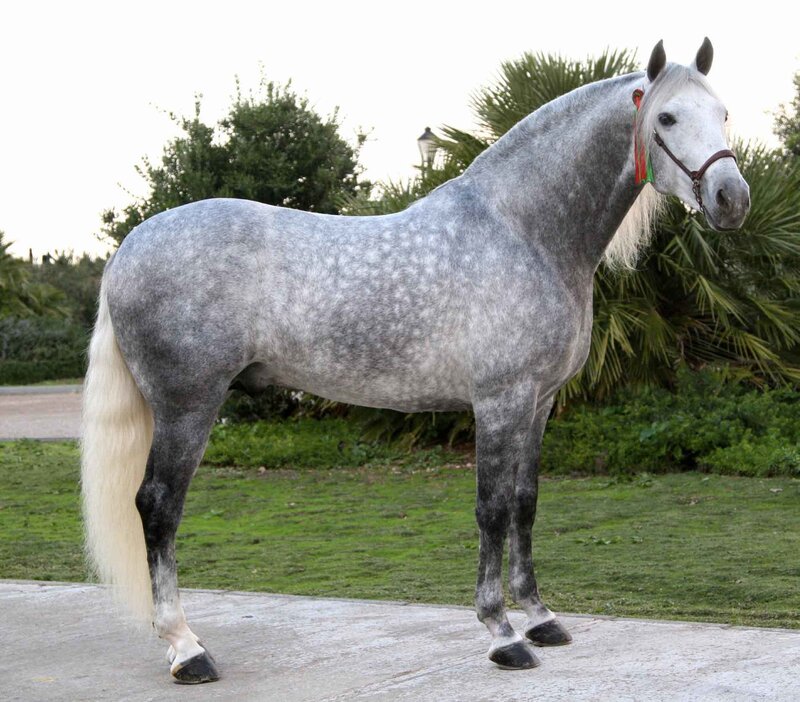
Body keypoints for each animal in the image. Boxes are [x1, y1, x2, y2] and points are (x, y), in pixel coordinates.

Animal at [81, 38, 749, 683]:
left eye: (723, 112)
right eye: (665, 116)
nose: (731, 199)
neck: (523, 232)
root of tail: (127, 250)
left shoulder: (540, 401)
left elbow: (526, 504)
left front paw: (541, 618)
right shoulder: (500, 401)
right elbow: (491, 510)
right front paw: (503, 635)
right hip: (188, 405)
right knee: (158, 507)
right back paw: (187, 650)